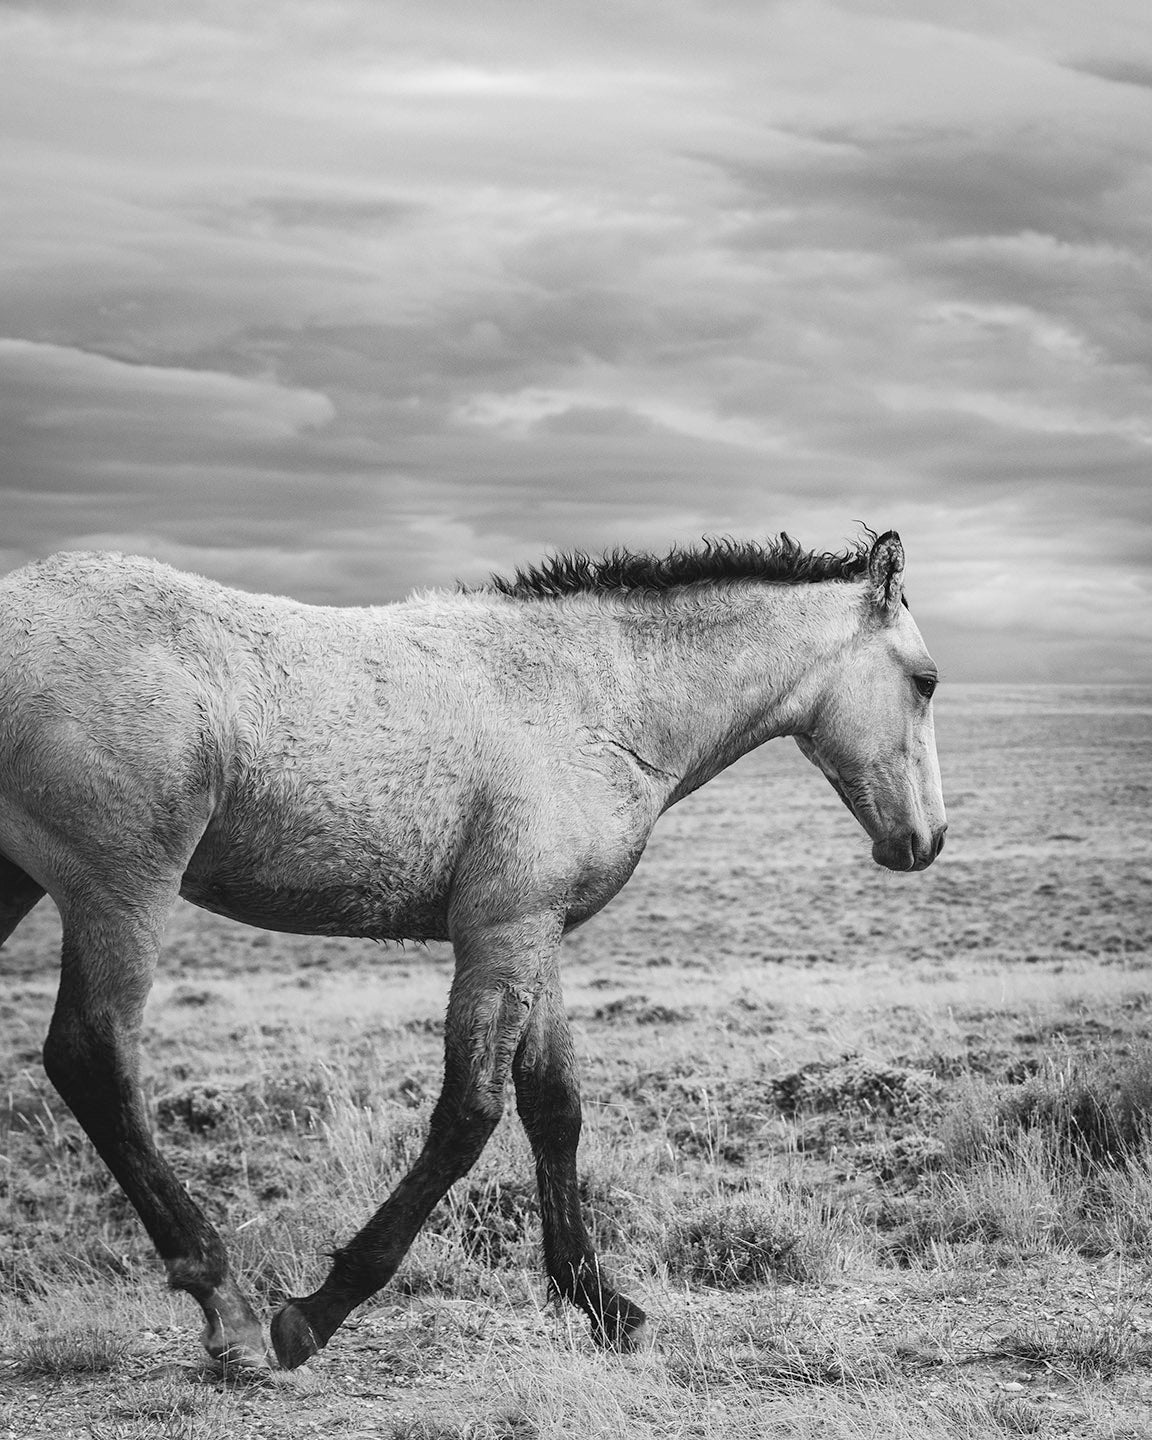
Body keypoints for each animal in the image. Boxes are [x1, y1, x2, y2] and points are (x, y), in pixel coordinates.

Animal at [0, 529, 944, 1370]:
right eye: (927, 681)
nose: (926, 839)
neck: (592, 696)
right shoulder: (500, 932)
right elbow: (469, 1116)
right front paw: (318, 1311)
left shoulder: (535, 930)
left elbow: (554, 1108)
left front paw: (603, 1306)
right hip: (121, 890)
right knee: (91, 1059)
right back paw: (227, 1304)